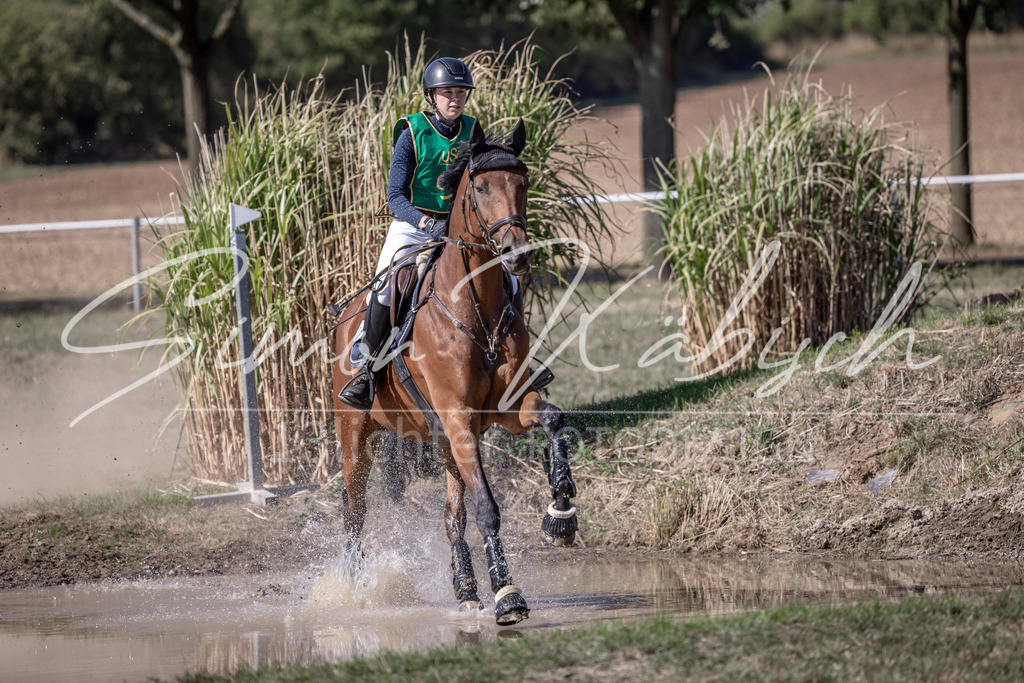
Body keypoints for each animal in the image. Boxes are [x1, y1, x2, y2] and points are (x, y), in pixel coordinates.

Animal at [331, 118, 578, 625]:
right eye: (480, 188)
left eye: (523, 184)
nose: (517, 255)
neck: (474, 304)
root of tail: (346, 314)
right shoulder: (460, 418)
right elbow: (487, 507)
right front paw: (508, 595)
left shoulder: (503, 409)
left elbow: (553, 419)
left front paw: (561, 512)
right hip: (356, 434)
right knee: (354, 509)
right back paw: (352, 589)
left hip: (443, 439)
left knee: (450, 516)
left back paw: (465, 589)